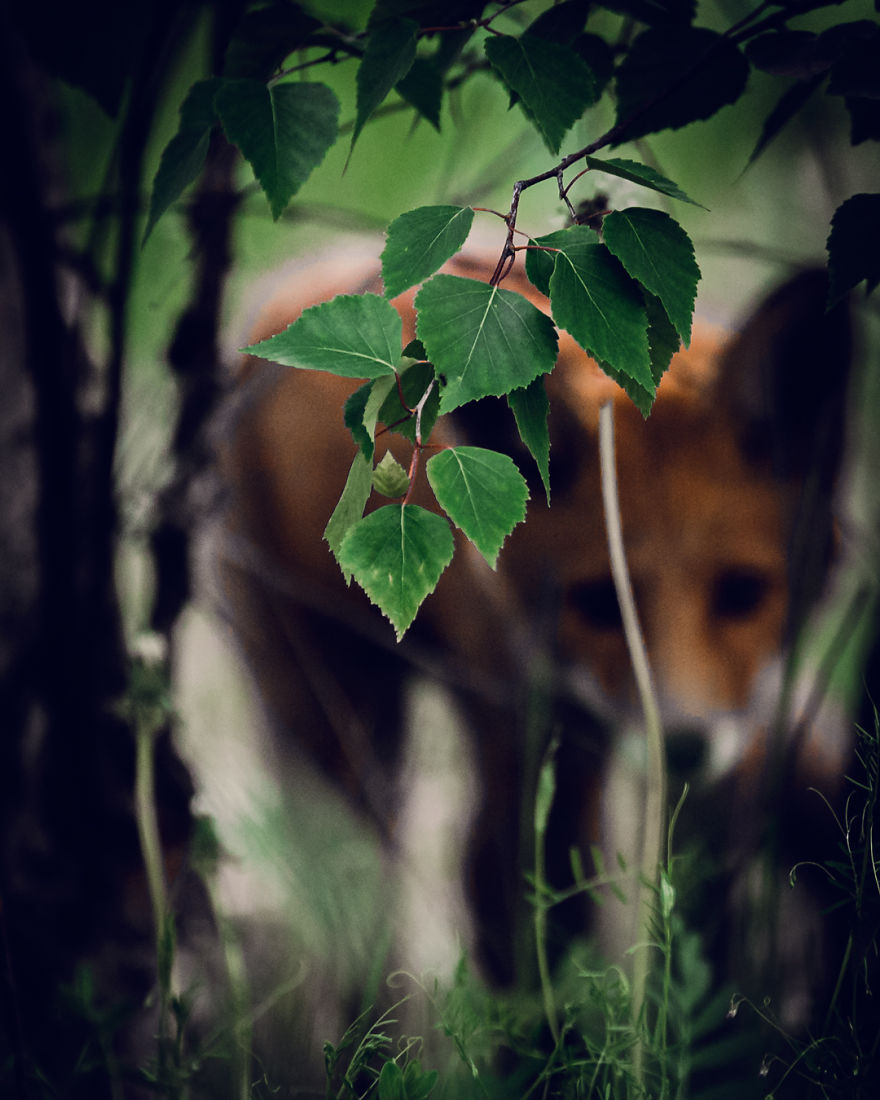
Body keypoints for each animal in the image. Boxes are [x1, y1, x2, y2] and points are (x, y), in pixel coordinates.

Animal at [213, 244, 855, 1025]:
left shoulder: (748, 727)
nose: (682, 744)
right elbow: (530, 927)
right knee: (356, 905)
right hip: (341, 721)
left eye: (742, 592)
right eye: (600, 603)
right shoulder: (523, 738)